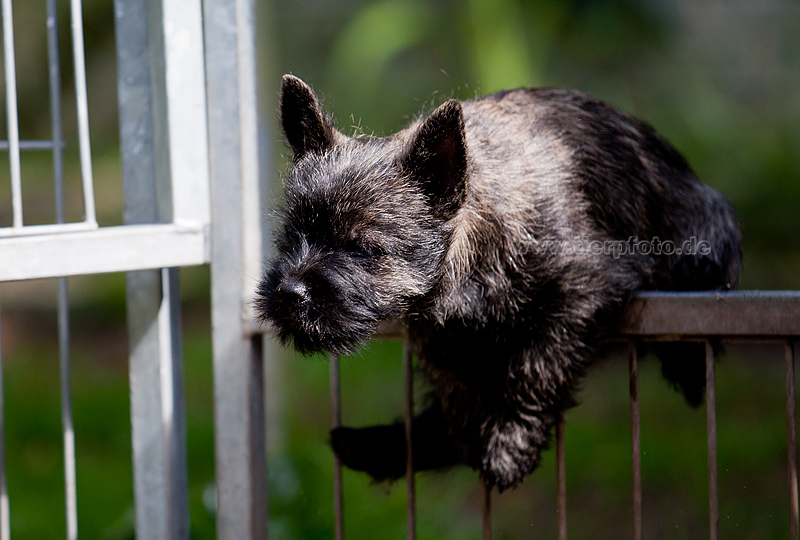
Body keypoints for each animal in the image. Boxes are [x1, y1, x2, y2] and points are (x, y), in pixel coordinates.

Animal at [255, 74, 736, 492]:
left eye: (363, 248)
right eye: (289, 238)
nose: (289, 293)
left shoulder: (584, 288)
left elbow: (536, 365)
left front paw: (509, 446)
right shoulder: (436, 333)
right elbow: (458, 389)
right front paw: (482, 436)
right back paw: (377, 446)